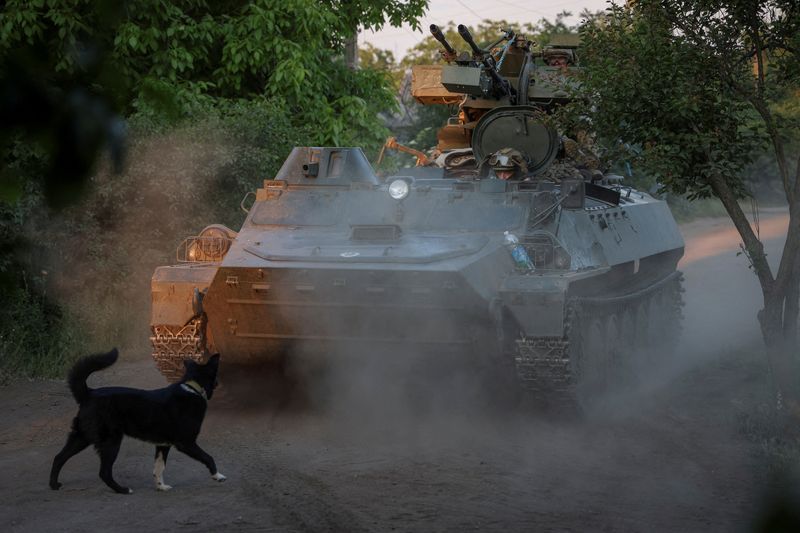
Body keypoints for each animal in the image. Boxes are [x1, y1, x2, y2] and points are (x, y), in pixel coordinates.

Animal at [48, 348, 227, 492]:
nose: (219, 382)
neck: (193, 388)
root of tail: (88, 393)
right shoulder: (186, 443)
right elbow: (208, 457)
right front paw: (218, 476)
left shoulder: (163, 445)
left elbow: (159, 468)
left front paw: (161, 487)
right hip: (111, 441)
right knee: (104, 472)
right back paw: (122, 490)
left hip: (81, 436)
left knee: (59, 457)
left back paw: (54, 485)